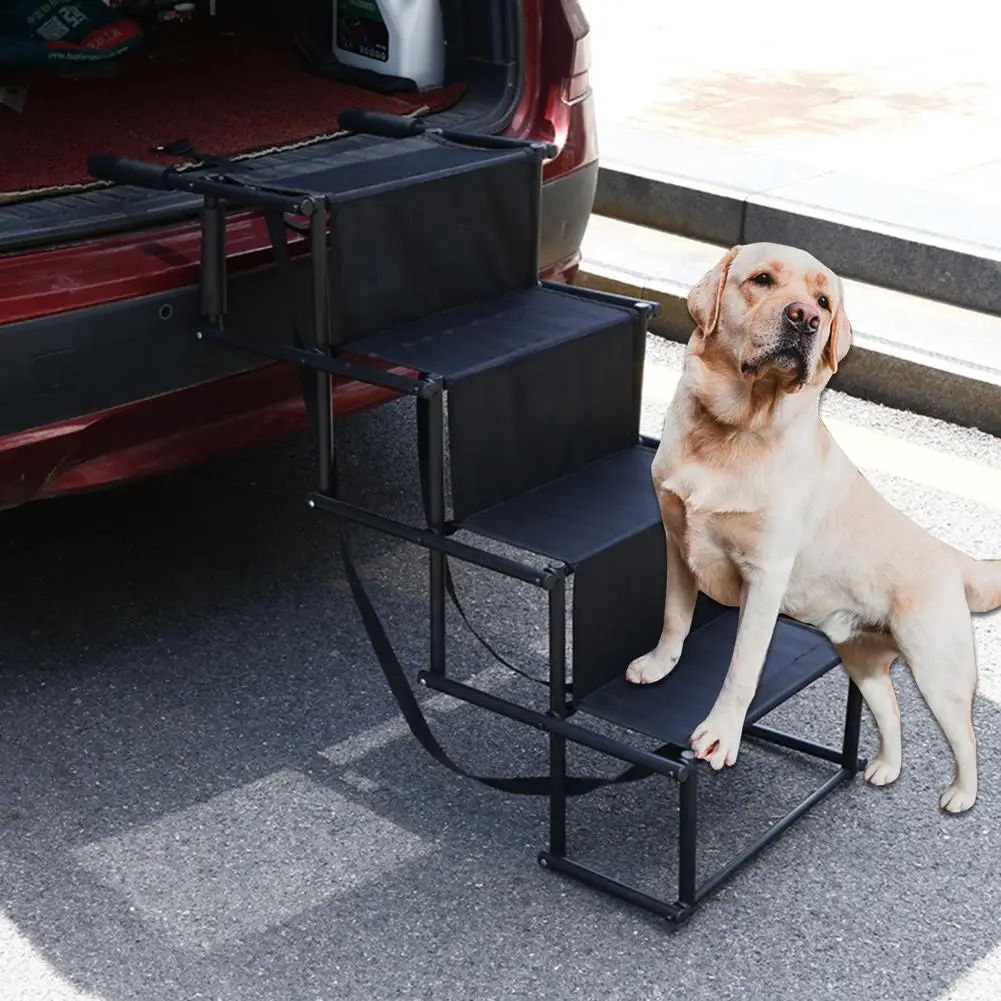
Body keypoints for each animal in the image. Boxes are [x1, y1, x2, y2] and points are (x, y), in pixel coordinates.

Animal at [624, 242, 1001, 812]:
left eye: (824, 301)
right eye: (761, 279)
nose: (805, 318)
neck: (733, 429)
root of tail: (954, 556)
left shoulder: (765, 575)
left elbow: (743, 667)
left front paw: (721, 734)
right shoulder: (676, 540)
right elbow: (674, 615)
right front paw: (660, 663)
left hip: (939, 668)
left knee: (966, 733)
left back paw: (961, 794)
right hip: (860, 658)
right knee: (891, 708)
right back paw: (887, 766)